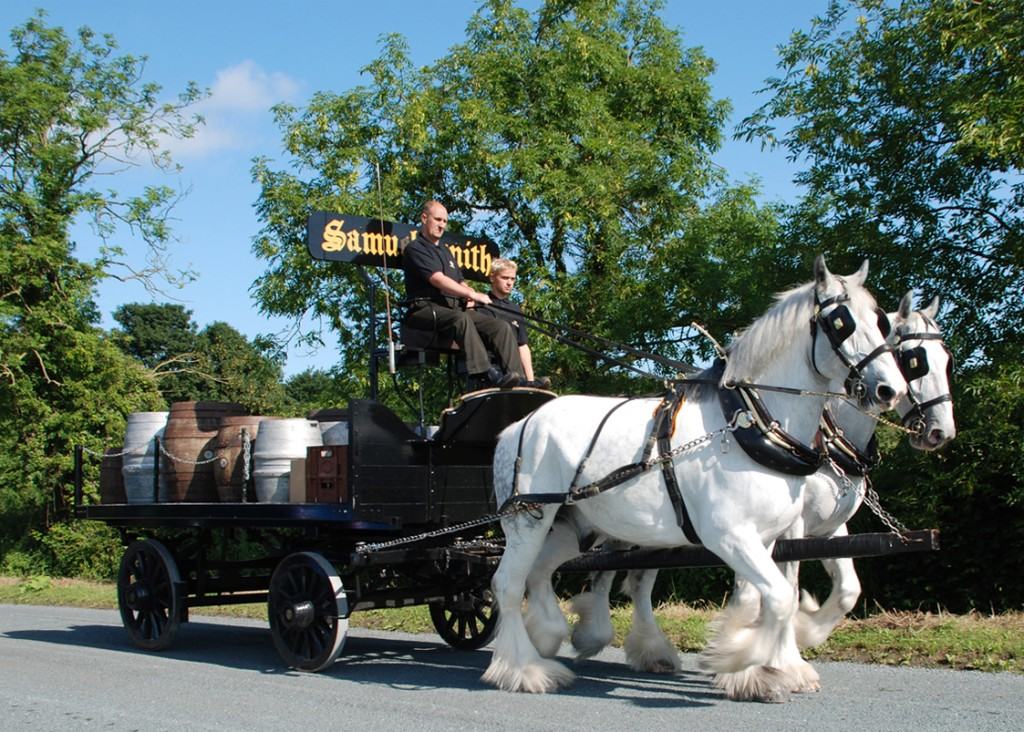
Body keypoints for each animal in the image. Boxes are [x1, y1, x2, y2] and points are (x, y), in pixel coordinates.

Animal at [483, 254, 909, 700]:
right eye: (841, 321)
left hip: (575, 526)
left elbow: (763, 599)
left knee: (539, 571)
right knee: (508, 584)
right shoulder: (728, 535)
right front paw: (738, 658)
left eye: (880, 321)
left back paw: (549, 635)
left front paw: (750, 664)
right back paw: (525, 668)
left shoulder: (765, 537)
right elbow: (778, 597)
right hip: (529, 520)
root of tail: (518, 425)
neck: (750, 425)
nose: (889, 390)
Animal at [573, 292, 954, 675]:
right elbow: (784, 585)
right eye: (914, 361)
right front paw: (776, 654)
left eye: (946, 359)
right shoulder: (783, 525)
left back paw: (646, 649)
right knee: (610, 573)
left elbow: (846, 588)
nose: (941, 432)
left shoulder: (829, 527)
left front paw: (793, 633)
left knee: (631, 577)